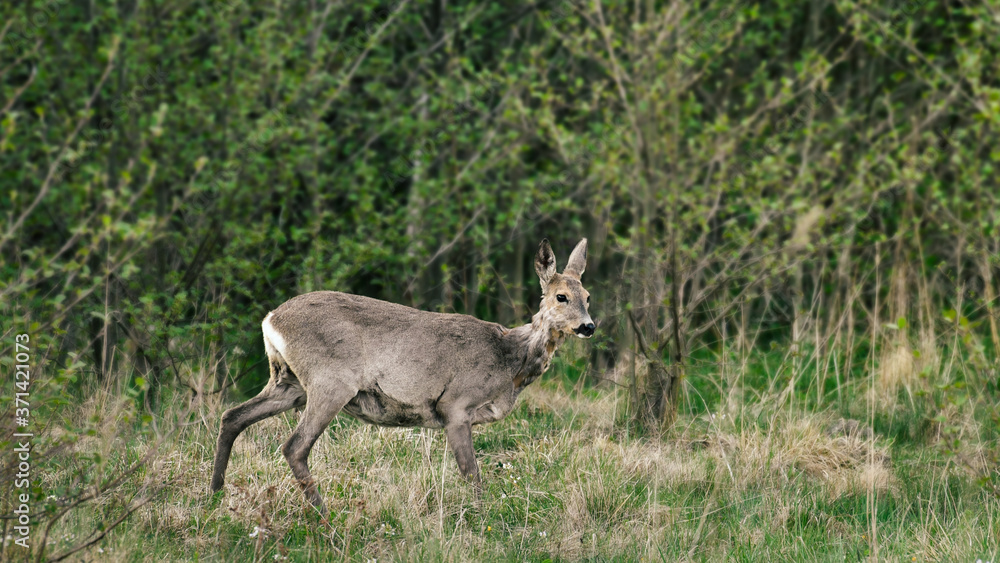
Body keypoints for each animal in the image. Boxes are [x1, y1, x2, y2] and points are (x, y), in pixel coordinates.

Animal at [211, 238, 595, 511]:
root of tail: (270, 319)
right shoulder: (455, 404)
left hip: (288, 381)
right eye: (561, 296)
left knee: (232, 416)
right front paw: (482, 516)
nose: (589, 326)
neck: (509, 361)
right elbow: (472, 472)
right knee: (294, 446)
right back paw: (324, 514)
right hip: (329, 381)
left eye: (588, 296)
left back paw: (215, 494)